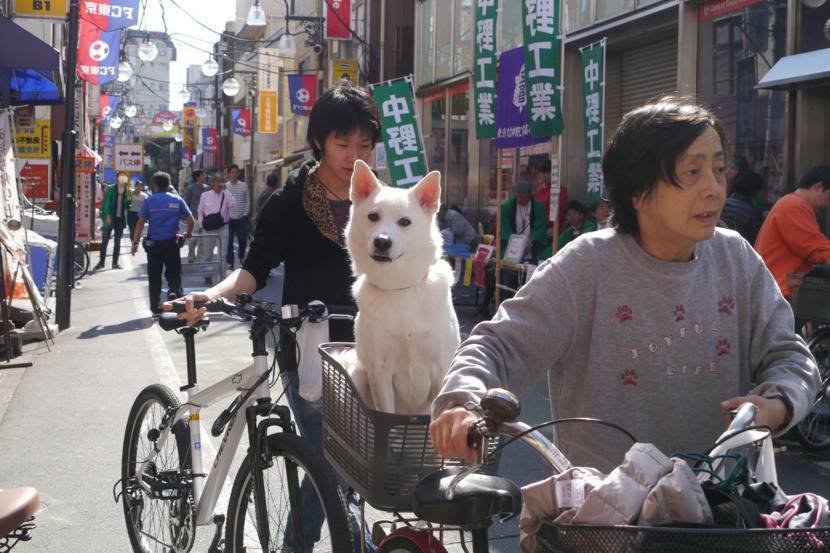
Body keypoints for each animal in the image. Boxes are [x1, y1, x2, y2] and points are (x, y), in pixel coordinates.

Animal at [344, 160, 462, 414]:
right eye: (373, 216)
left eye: (405, 222)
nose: (382, 241)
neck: (400, 288)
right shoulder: (380, 372)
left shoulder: (441, 370)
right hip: (357, 374)